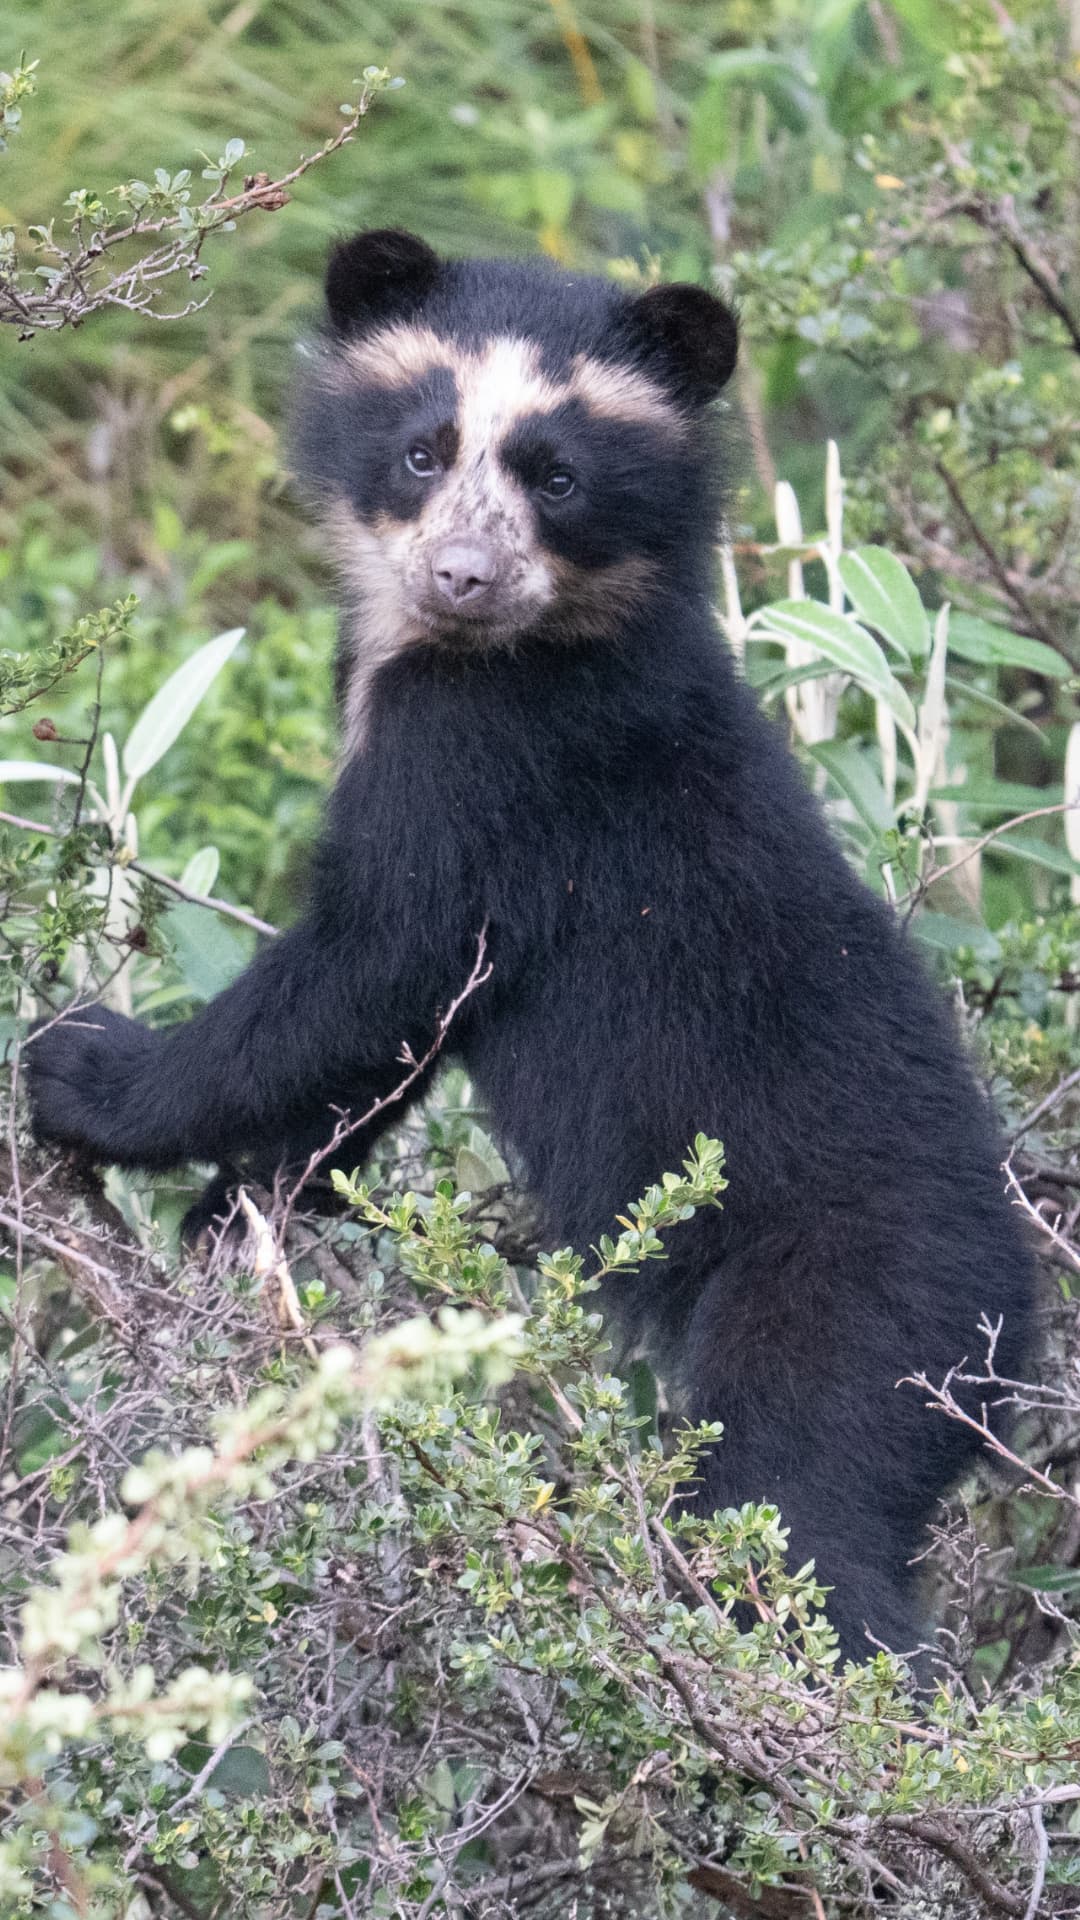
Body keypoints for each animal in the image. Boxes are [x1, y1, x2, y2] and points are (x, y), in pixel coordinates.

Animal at [27, 228, 1034, 1663]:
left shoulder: (485, 769)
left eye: (556, 476)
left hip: (851, 1316)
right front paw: (246, 1212)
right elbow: (376, 1052)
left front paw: (83, 1070)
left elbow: (367, 966)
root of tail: (1014, 1322)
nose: (462, 576)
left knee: (800, 1518)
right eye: (423, 448)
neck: (494, 652)